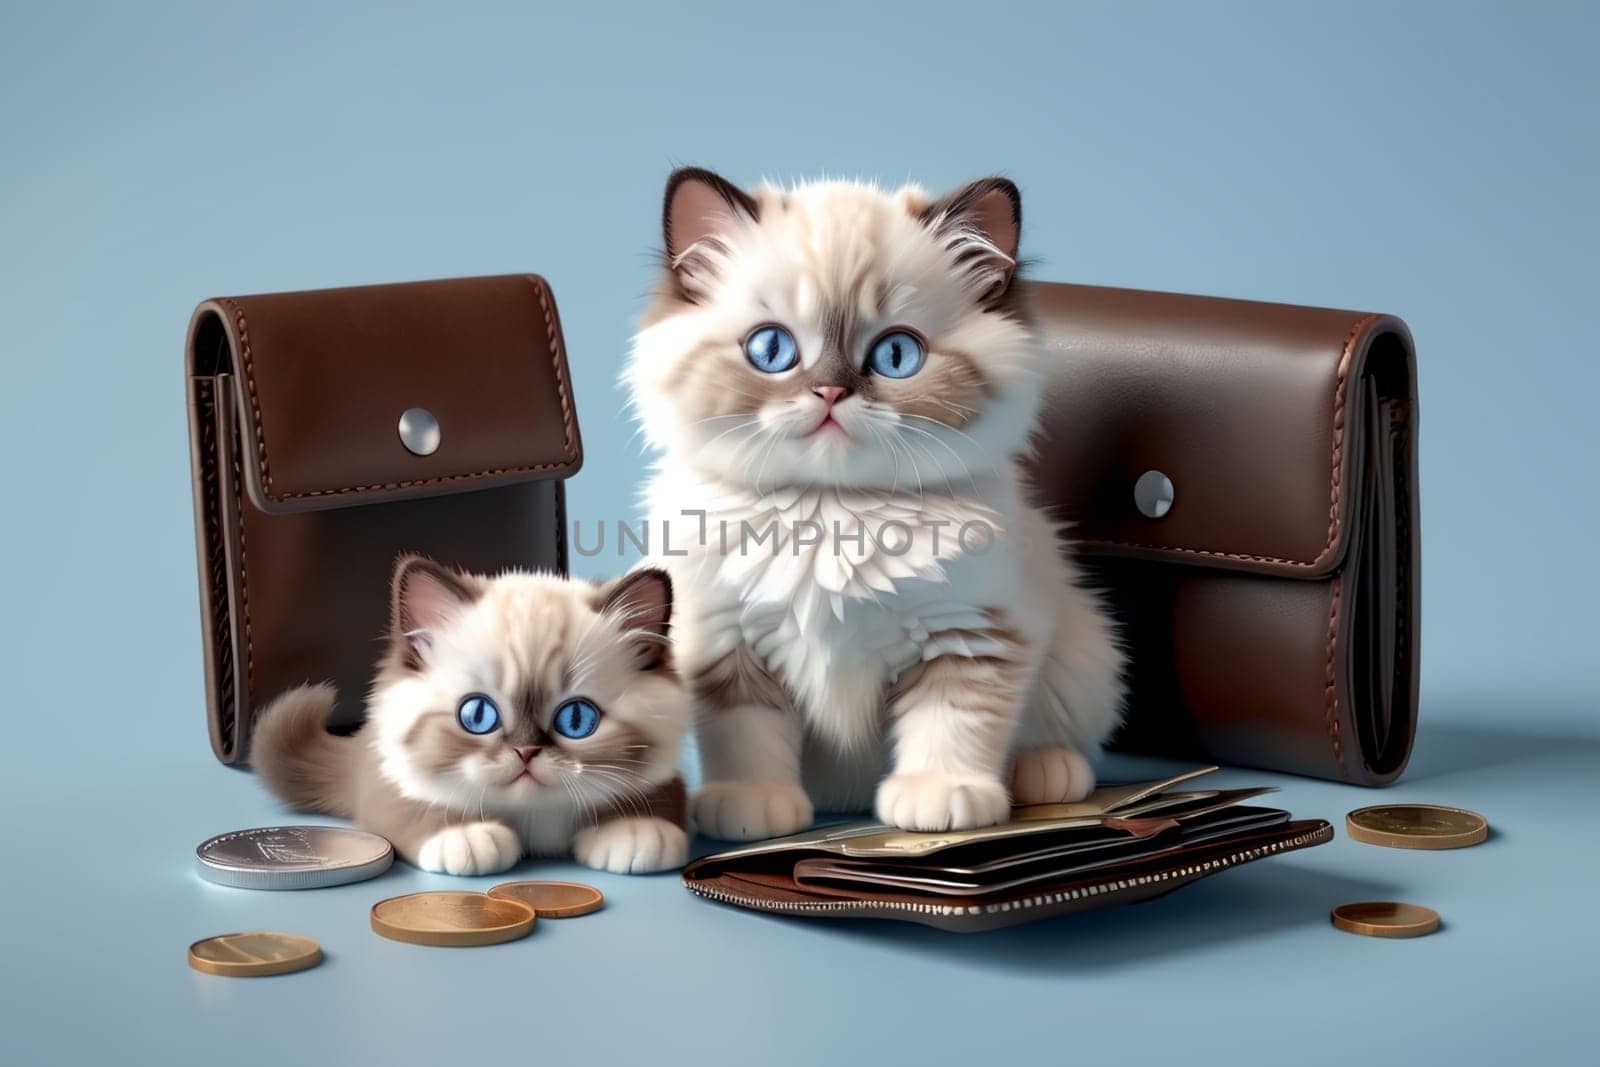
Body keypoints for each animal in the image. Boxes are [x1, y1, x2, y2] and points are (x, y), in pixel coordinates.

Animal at [252, 559, 691, 876]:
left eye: (577, 720)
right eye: (478, 715)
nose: (526, 752)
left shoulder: (664, 780)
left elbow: (654, 797)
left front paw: (635, 831)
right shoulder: (389, 781)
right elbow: (416, 806)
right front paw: (465, 838)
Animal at [624, 168, 1126, 844]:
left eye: (896, 356)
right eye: (771, 350)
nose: (831, 392)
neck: (831, 513)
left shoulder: (972, 633)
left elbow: (952, 722)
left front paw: (939, 798)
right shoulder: (726, 644)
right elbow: (746, 737)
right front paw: (754, 805)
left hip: (1080, 651)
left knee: (1060, 736)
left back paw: (1046, 774)